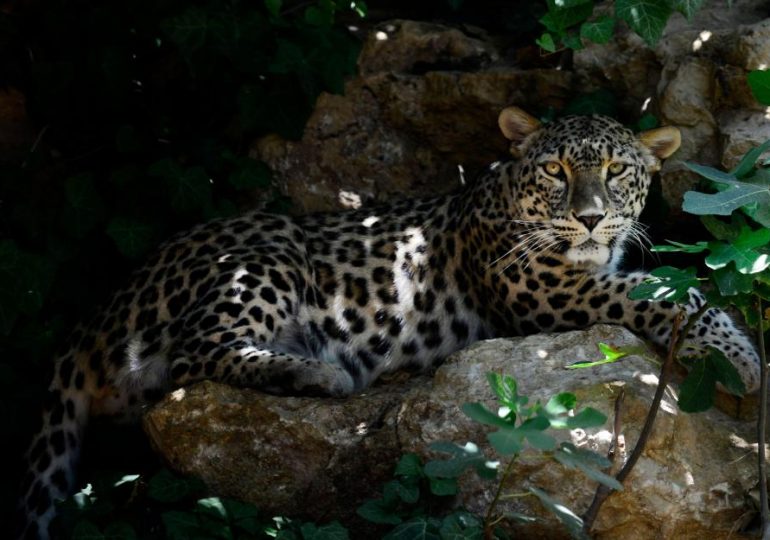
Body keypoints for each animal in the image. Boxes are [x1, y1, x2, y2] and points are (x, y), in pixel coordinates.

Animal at [18, 107, 762, 539]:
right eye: (554, 170)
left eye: (616, 170)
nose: (587, 218)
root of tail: (102, 309)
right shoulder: (547, 288)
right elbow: (666, 294)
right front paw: (742, 357)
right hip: (266, 252)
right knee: (194, 354)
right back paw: (319, 372)